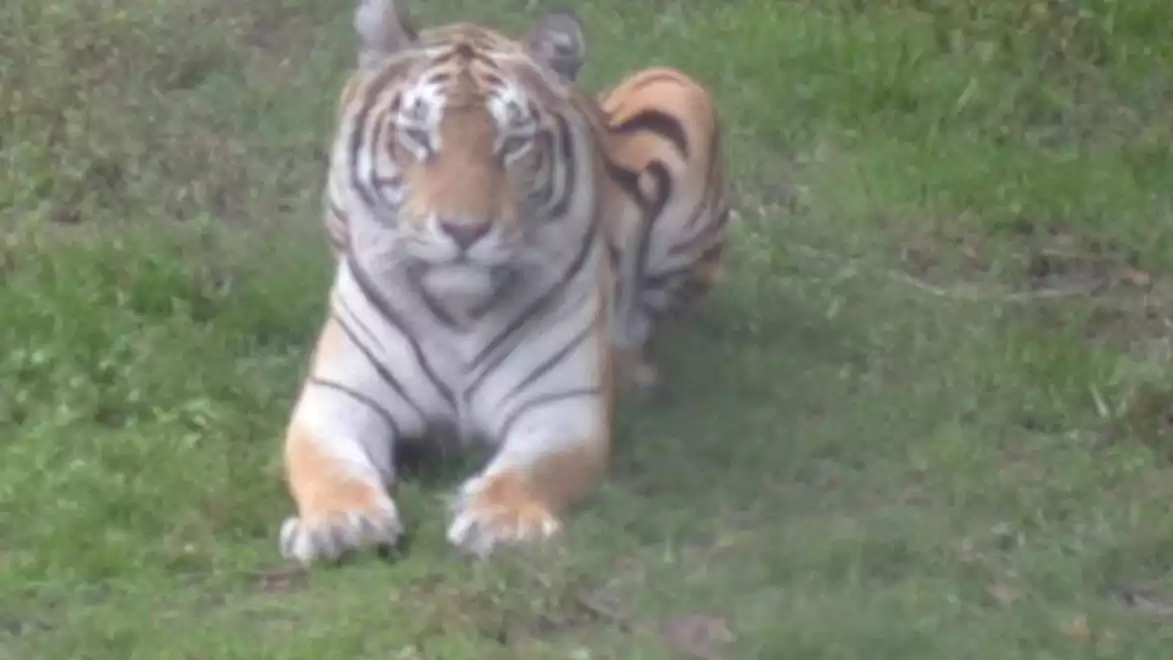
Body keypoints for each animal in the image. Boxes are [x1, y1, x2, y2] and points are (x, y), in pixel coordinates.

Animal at [280, 0, 731, 566]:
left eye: (512, 143)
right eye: (418, 137)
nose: (464, 230)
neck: (457, 311)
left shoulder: (559, 408)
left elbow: (529, 471)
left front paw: (501, 520)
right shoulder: (338, 400)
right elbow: (329, 466)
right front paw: (342, 522)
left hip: (679, 91)